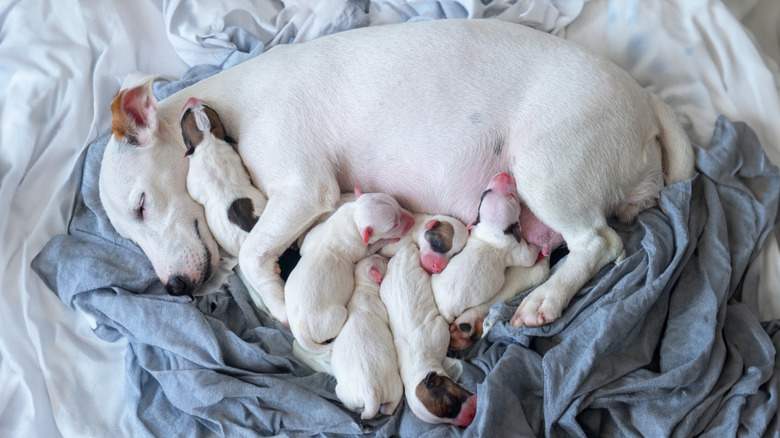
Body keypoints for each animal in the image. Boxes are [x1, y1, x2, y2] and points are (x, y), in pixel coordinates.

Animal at [284, 188, 414, 350]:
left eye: (397, 203)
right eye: (394, 224)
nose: (413, 219)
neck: (353, 218)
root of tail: (301, 334)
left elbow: (305, 244)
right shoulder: (358, 248)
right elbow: (371, 249)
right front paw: (388, 240)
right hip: (334, 317)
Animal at [378, 241, 476, 426]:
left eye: (452, 404)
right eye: (446, 421)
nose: (469, 420)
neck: (422, 366)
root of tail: (404, 250)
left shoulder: (440, 329)